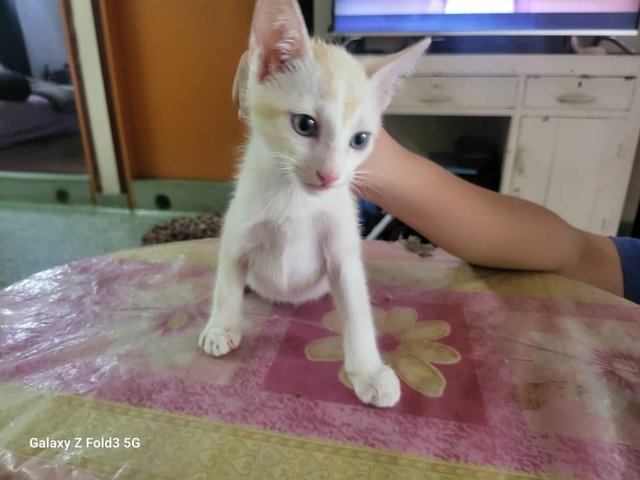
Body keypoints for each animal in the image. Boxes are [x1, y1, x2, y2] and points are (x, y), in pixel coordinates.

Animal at [200, 0, 430, 406]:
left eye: (360, 139)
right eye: (305, 125)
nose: (331, 176)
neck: (296, 200)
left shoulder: (342, 252)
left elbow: (356, 310)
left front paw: (369, 371)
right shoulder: (238, 231)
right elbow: (227, 279)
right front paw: (221, 326)